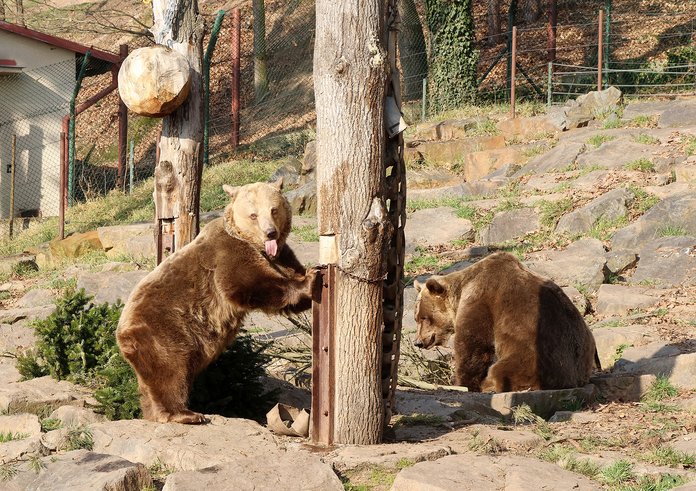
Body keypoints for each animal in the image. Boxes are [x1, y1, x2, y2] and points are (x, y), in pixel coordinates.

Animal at [117, 181, 316, 422]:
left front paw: (314, 271)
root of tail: (122, 335)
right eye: (253, 215)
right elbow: (249, 285)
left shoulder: (282, 256)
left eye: (274, 209)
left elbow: (290, 273)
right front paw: (310, 280)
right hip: (163, 330)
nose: (270, 233)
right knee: (171, 370)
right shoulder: (228, 254)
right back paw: (185, 413)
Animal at [414, 252, 600, 394]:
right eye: (417, 318)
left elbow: (473, 343)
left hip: (536, 357)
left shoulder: (481, 296)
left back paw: (489, 384)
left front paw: (462, 382)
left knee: (502, 370)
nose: (418, 342)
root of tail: (575, 379)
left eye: (424, 317)